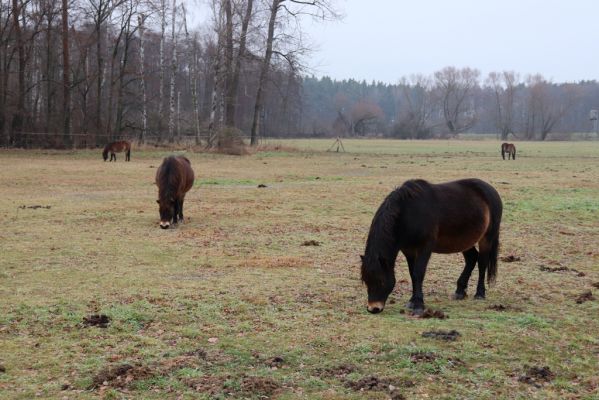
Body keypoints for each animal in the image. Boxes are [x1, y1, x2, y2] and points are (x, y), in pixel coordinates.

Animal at [364, 179, 504, 316]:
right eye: (365, 280)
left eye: (381, 281)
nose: (373, 308)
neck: (408, 213)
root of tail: (491, 190)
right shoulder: (408, 250)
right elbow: (412, 274)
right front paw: (412, 301)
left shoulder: (424, 248)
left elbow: (418, 273)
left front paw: (418, 305)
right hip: (465, 240)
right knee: (472, 258)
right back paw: (460, 291)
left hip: (487, 238)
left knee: (482, 263)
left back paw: (479, 293)